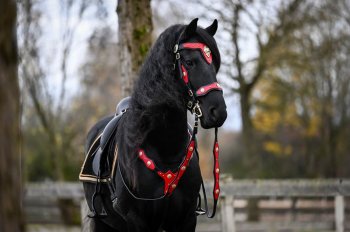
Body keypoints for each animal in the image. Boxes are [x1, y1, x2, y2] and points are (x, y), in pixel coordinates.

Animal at [79, 18, 227, 232]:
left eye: (214, 64)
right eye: (189, 62)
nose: (218, 112)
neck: (165, 150)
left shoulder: (187, 219)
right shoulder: (137, 220)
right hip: (102, 221)